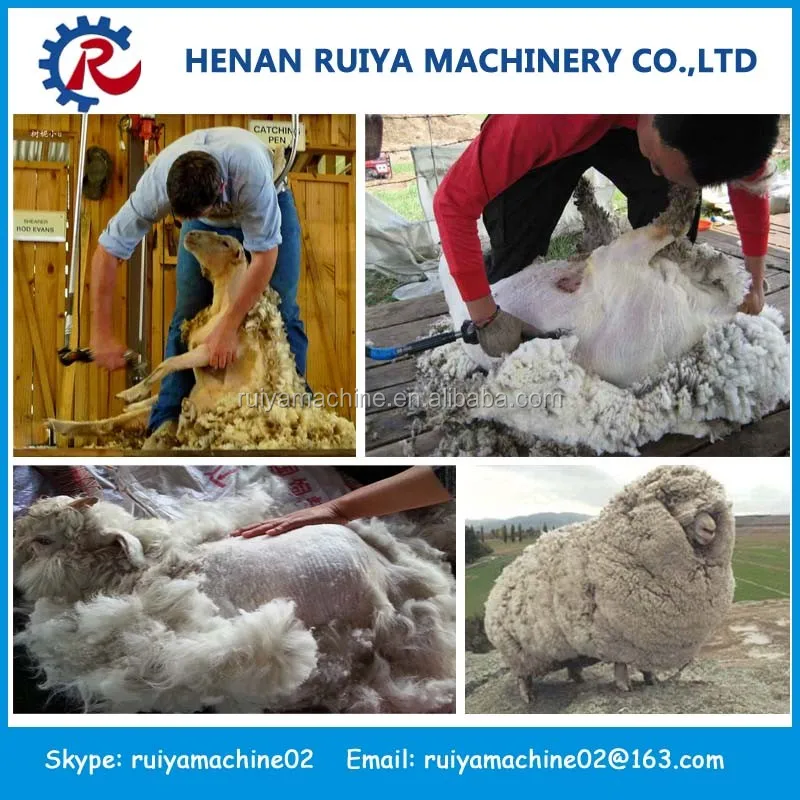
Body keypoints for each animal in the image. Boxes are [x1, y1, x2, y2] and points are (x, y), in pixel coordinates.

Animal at [484, 466, 735, 703]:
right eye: (673, 499)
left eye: (713, 511)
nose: (710, 529)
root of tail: (500, 580)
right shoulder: (617, 640)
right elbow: (621, 665)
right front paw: (624, 687)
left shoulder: (645, 646)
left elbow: (645, 667)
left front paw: (651, 680)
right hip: (518, 651)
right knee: (522, 676)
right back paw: (528, 696)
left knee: (570, 663)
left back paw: (578, 679)